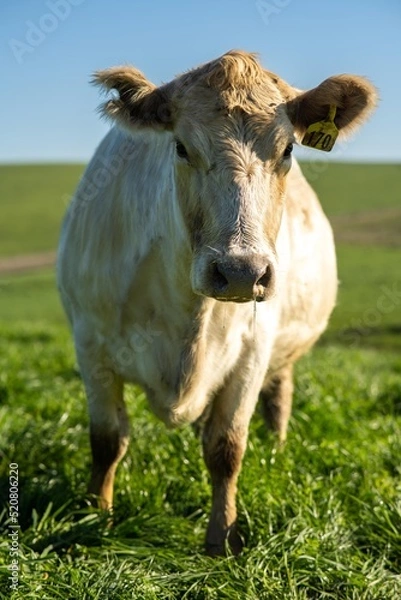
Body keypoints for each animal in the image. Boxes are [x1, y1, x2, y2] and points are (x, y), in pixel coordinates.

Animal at [56, 51, 376, 556]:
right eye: (181, 147)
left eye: (288, 150)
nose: (242, 270)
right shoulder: (91, 345)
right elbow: (107, 440)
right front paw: (95, 517)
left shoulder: (252, 353)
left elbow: (226, 448)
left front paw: (221, 537)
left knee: (278, 399)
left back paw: (277, 451)